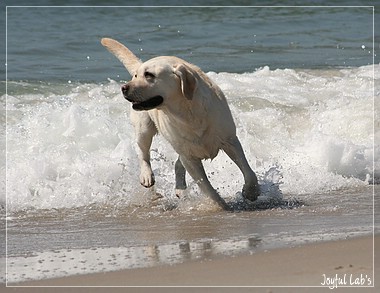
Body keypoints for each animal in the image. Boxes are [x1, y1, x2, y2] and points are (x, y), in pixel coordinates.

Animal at [102, 37, 260, 209]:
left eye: (149, 75)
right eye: (136, 75)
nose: (123, 88)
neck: (186, 113)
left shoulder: (230, 140)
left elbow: (248, 171)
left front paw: (251, 191)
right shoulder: (189, 157)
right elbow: (207, 187)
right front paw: (220, 206)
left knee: (177, 163)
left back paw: (181, 189)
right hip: (144, 128)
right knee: (143, 153)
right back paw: (147, 176)